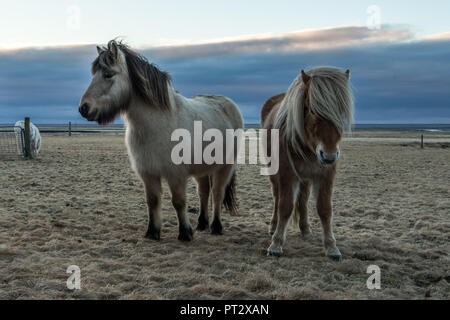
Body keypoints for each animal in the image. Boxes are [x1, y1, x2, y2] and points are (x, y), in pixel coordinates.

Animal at [262, 67, 354, 260]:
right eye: (312, 110)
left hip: (305, 177)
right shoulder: (287, 173)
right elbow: (285, 206)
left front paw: (332, 247)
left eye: (341, 112)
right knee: (277, 196)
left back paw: (305, 229)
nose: (328, 156)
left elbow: (325, 209)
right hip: (275, 173)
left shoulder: (326, 174)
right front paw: (276, 244)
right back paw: (273, 226)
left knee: (303, 199)